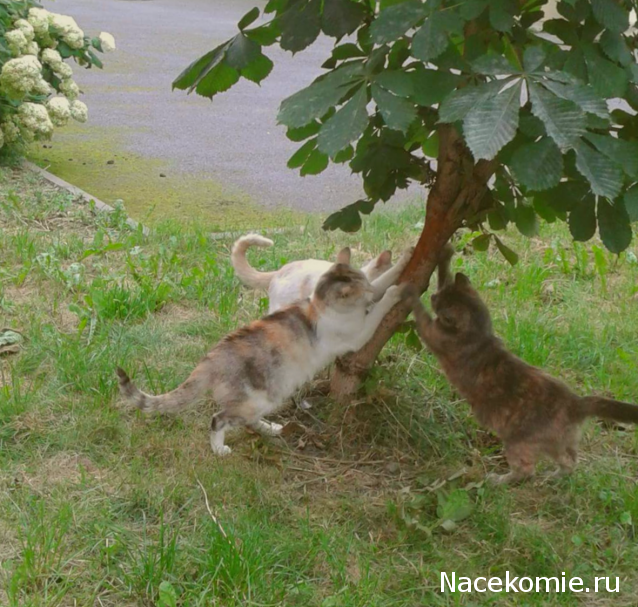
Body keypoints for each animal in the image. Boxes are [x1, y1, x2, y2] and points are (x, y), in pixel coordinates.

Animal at [117, 247, 412, 456]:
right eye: (362, 289)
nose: (369, 292)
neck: (318, 305)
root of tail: (211, 359)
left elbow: (384, 277)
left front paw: (405, 259)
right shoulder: (359, 333)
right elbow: (382, 303)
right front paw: (396, 290)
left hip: (268, 397)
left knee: (247, 420)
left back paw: (271, 429)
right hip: (255, 399)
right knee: (218, 419)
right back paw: (220, 449)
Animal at [412, 247, 638, 484]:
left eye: (441, 304)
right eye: (442, 293)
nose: (433, 296)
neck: (481, 333)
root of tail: (576, 402)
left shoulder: (436, 335)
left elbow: (422, 317)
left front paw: (407, 292)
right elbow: (443, 274)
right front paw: (445, 252)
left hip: (518, 441)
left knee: (527, 470)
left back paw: (499, 480)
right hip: (559, 442)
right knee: (570, 460)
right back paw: (553, 476)